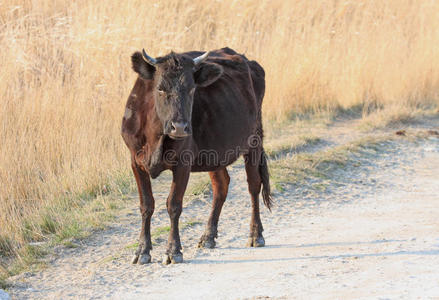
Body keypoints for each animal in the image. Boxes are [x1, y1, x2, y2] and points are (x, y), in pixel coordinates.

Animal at [121, 45, 272, 264]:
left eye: (192, 89)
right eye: (160, 88)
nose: (180, 127)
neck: (155, 136)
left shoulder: (183, 163)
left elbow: (174, 204)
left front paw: (173, 250)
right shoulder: (135, 161)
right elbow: (146, 205)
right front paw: (142, 251)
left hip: (254, 140)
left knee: (254, 185)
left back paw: (255, 234)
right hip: (216, 150)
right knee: (221, 185)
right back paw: (208, 236)